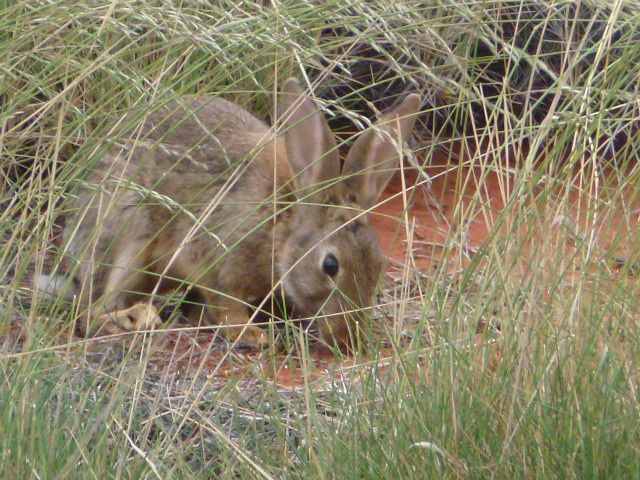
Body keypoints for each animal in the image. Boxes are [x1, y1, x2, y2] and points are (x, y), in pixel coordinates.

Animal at [37, 79, 422, 348]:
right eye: (330, 266)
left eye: (379, 264)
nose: (347, 337)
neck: (281, 229)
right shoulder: (214, 258)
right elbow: (226, 306)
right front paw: (251, 336)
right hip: (127, 238)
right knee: (92, 312)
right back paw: (138, 318)